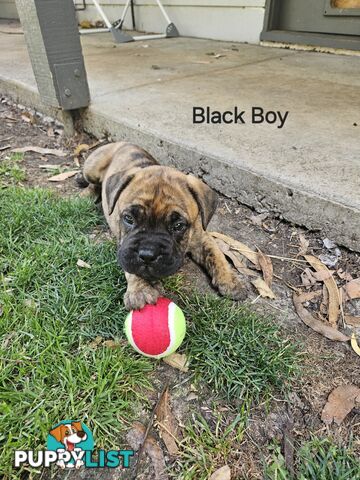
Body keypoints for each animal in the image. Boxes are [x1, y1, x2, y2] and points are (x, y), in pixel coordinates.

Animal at [80, 141, 246, 310]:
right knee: (92, 183)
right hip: (91, 169)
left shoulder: (201, 237)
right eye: (128, 218)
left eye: (178, 225)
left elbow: (217, 255)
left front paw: (230, 281)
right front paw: (140, 290)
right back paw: (86, 195)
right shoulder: (124, 245)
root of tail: (122, 142)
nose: (147, 254)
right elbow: (130, 263)